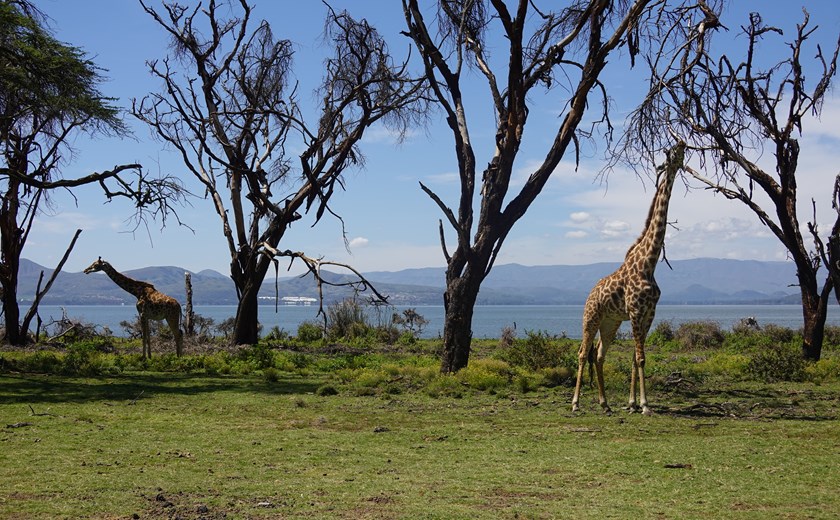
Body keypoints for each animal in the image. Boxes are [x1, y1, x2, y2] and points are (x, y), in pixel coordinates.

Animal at [571, 141, 686, 416]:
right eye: (670, 153)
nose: (682, 144)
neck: (649, 264)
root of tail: (589, 294)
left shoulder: (649, 313)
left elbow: (635, 357)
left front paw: (632, 403)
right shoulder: (634, 311)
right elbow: (641, 357)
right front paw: (644, 405)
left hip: (610, 323)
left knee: (598, 355)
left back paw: (605, 404)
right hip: (591, 318)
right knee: (582, 353)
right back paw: (576, 403)